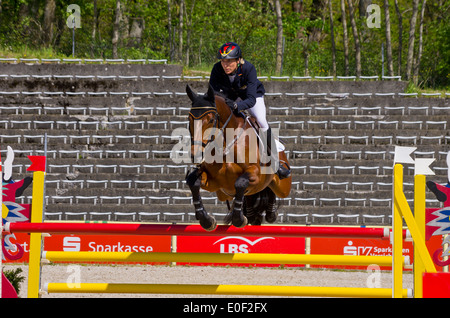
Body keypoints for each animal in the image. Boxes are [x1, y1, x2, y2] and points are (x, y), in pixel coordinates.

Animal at [184, 84, 292, 231]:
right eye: (189, 119)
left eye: (211, 120)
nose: (196, 154)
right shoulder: (215, 185)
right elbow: (192, 182)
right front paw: (207, 220)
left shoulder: (255, 173)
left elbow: (240, 182)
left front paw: (238, 219)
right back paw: (253, 215)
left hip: (283, 187)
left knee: (273, 191)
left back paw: (271, 212)